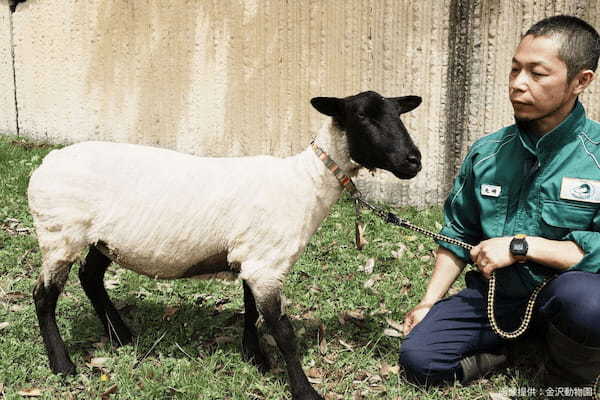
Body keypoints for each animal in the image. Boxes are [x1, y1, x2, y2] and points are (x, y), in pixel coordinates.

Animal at [28, 90, 422, 400]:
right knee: (44, 297)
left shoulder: (253, 257)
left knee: (90, 277)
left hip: (101, 238)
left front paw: (255, 358)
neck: (306, 182)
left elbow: (251, 310)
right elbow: (282, 330)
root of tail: (45, 165)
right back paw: (63, 365)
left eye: (399, 113)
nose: (414, 160)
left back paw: (121, 336)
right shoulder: (266, 265)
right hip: (59, 233)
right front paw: (304, 390)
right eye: (362, 115)